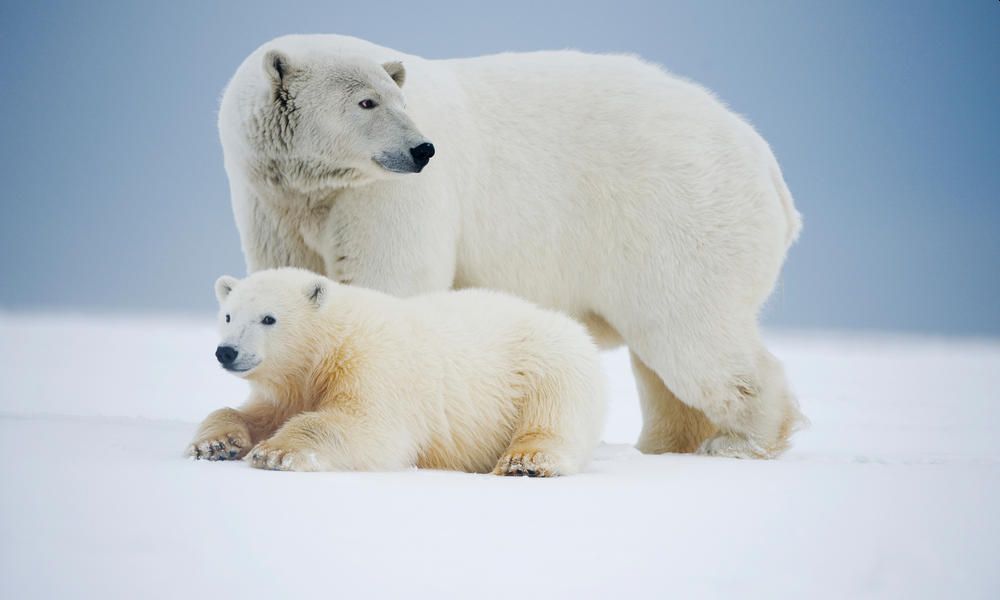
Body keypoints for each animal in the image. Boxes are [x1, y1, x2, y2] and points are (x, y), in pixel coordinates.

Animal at [190, 270, 604, 476]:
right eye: (228, 315)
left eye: (269, 318)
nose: (227, 351)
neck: (330, 345)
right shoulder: (291, 389)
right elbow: (252, 412)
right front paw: (215, 445)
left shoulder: (374, 366)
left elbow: (370, 427)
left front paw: (275, 452)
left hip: (546, 365)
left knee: (551, 418)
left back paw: (524, 462)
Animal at [217, 35, 804, 458]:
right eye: (366, 101)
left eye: (397, 98)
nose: (423, 148)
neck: (316, 188)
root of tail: (768, 167)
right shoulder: (272, 201)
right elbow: (286, 269)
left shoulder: (387, 197)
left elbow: (387, 283)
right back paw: (666, 443)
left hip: (677, 217)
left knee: (691, 334)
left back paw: (739, 440)